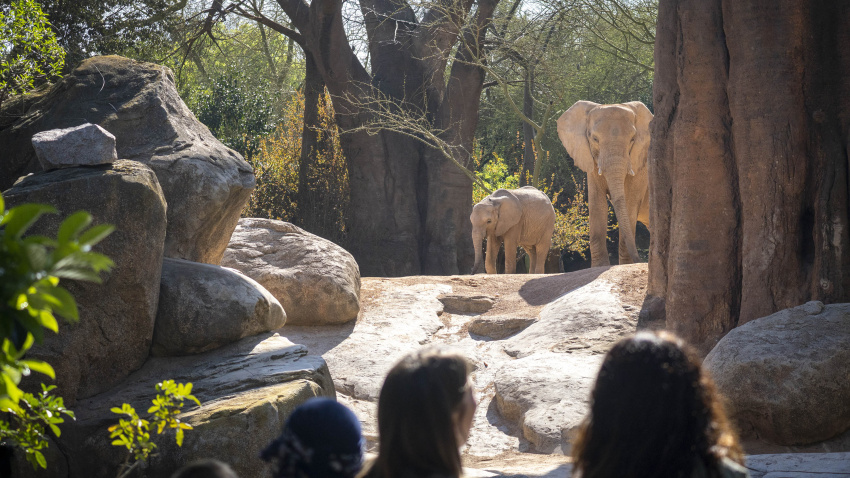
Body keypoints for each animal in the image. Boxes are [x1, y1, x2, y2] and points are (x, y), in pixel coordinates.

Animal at [556, 100, 653, 267]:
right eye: (594, 139)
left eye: (632, 139)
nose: (639, 261)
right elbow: (597, 205)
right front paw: (600, 267)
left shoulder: (640, 166)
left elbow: (629, 205)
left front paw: (625, 266)